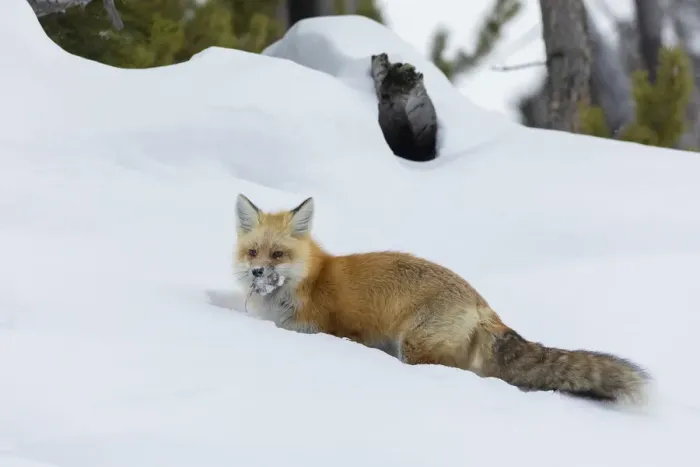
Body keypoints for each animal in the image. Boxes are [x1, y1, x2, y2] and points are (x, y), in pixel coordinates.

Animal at [232, 193, 651, 406]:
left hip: (415, 348)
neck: (307, 283)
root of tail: (482, 303)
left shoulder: (331, 331)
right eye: (253, 253)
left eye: (278, 255)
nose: (257, 273)